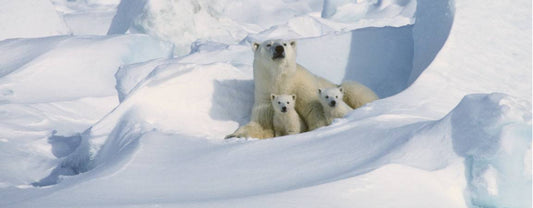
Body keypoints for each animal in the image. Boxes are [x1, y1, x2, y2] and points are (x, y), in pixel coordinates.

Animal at [224, 39, 378, 139]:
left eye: (284, 43)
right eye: (268, 44)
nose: (279, 49)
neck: (281, 82)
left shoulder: (303, 88)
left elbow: (314, 110)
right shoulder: (265, 96)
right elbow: (261, 124)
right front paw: (233, 135)